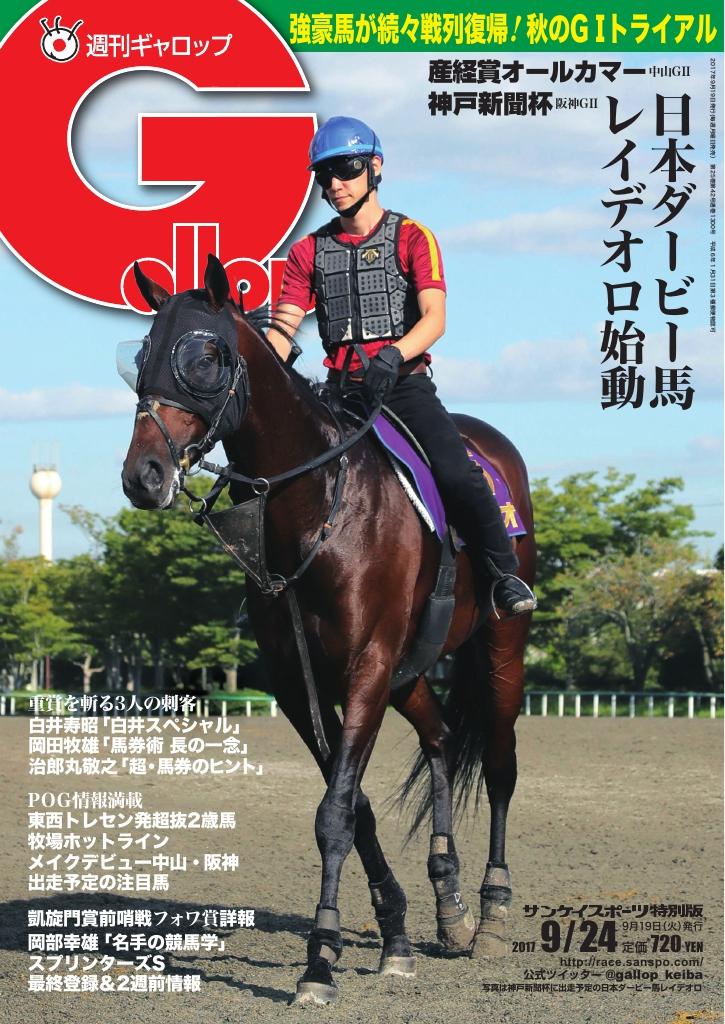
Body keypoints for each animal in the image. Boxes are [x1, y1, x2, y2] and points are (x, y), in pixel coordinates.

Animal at [120, 254, 536, 1006]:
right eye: (141, 356)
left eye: (204, 357)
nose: (144, 474)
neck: (315, 507)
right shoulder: (297, 681)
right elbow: (356, 805)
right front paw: (394, 934)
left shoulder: (366, 665)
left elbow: (335, 812)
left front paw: (319, 960)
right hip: (409, 671)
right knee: (438, 739)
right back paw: (448, 903)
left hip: (498, 647)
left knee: (497, 763)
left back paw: (490, 914)